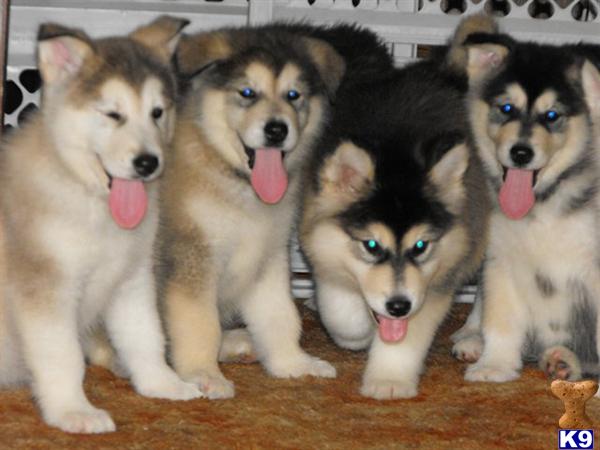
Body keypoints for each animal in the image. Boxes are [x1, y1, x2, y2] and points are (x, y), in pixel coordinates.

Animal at [0, 16, 203, 432]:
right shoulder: (46, 290)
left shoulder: (132, 279)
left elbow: (146, 336)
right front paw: (72, 410)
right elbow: (63, 357)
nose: (148, 163)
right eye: (112, 114)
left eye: (157, 112)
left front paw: (163, 383)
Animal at [158, 25, 352, 398]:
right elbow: (199, 324)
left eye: (293, 95)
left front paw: (292, 363)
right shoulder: (192, 261)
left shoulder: (269, 257)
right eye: (247, 93)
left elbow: (281, 316)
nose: (277, 129)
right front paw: (203, 373)